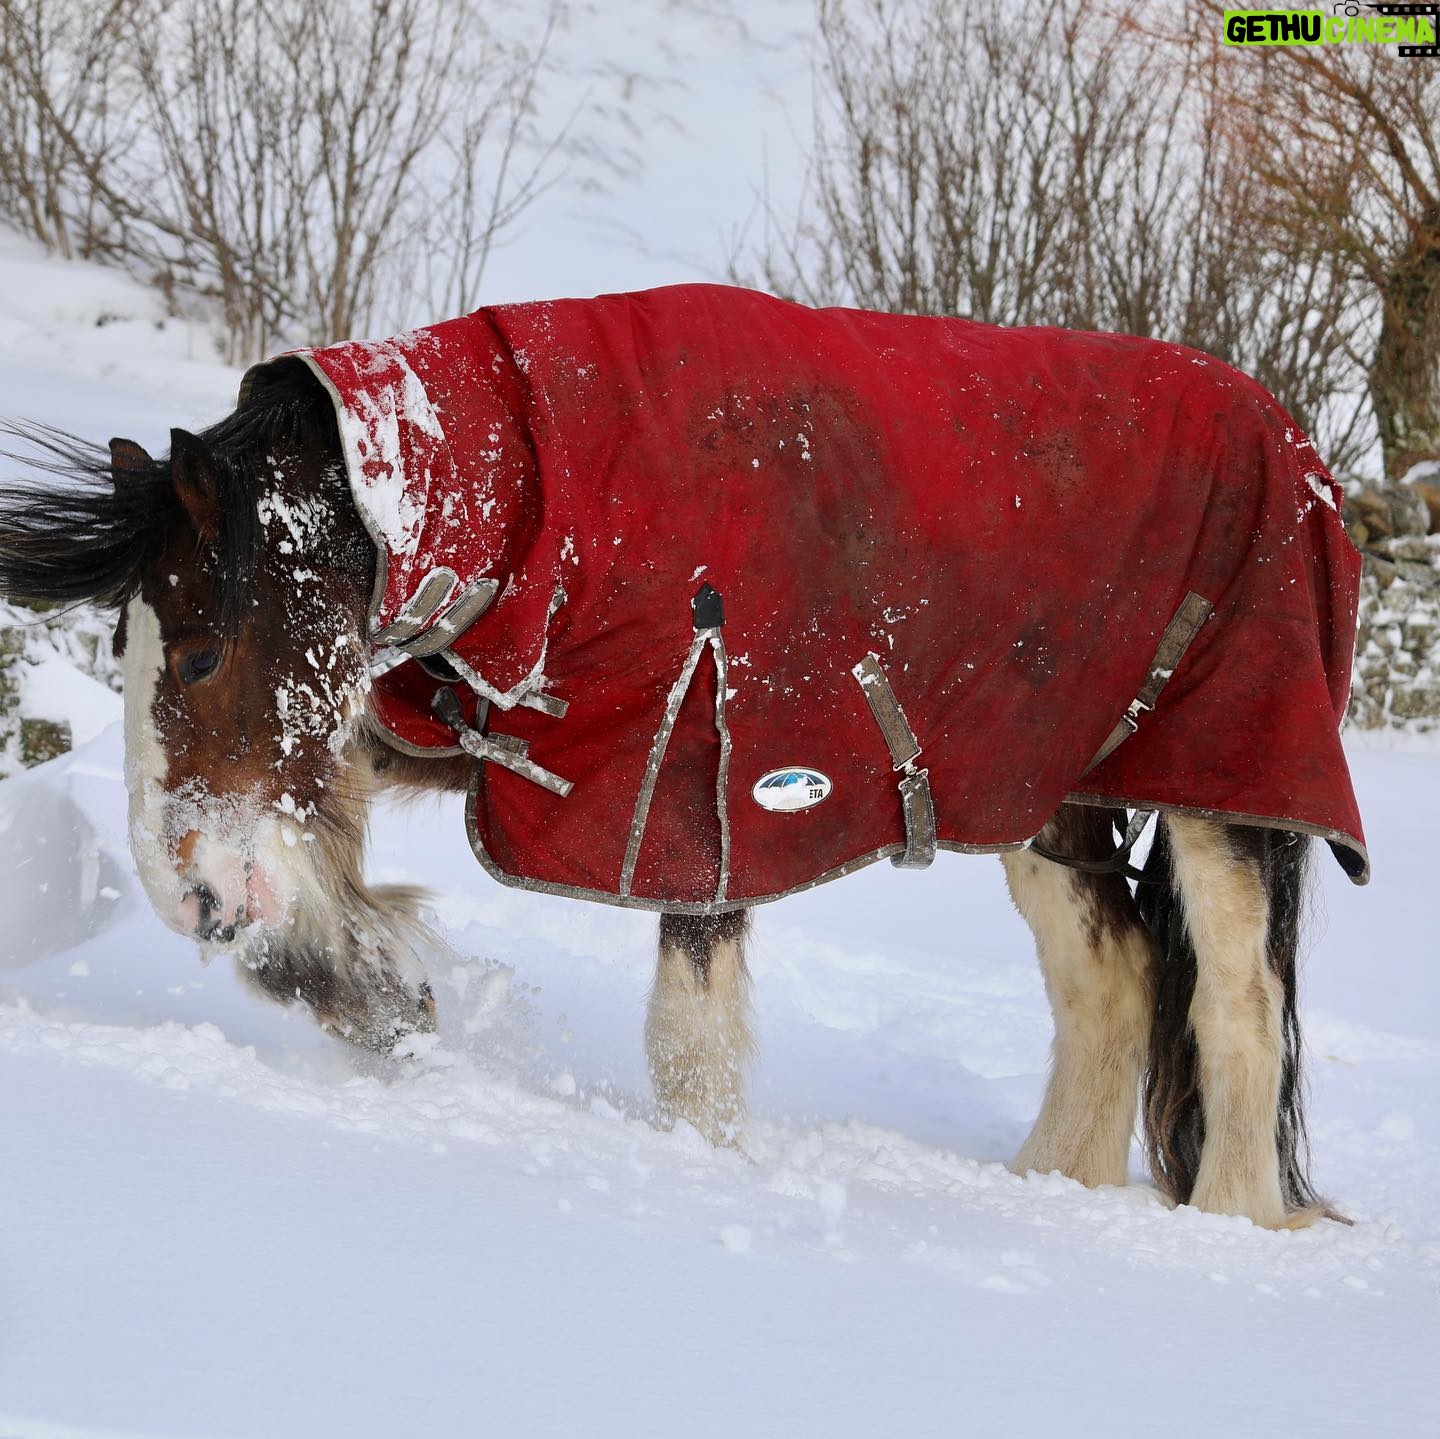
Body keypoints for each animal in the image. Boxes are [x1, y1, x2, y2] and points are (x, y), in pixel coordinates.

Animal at [0, 283, 1367, 1232]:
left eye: (197, 652)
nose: (194, 894)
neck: (546, 496)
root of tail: (1298, 448)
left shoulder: (703, 792)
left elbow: (689, 1045)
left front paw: (693, 1182)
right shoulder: (485, 733)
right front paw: (386, 999)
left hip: (1222, 786)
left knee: (1238, 1003)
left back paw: (1234, 1229)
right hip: (1035, 790)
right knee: (1115, 971)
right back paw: (1051, 1187)